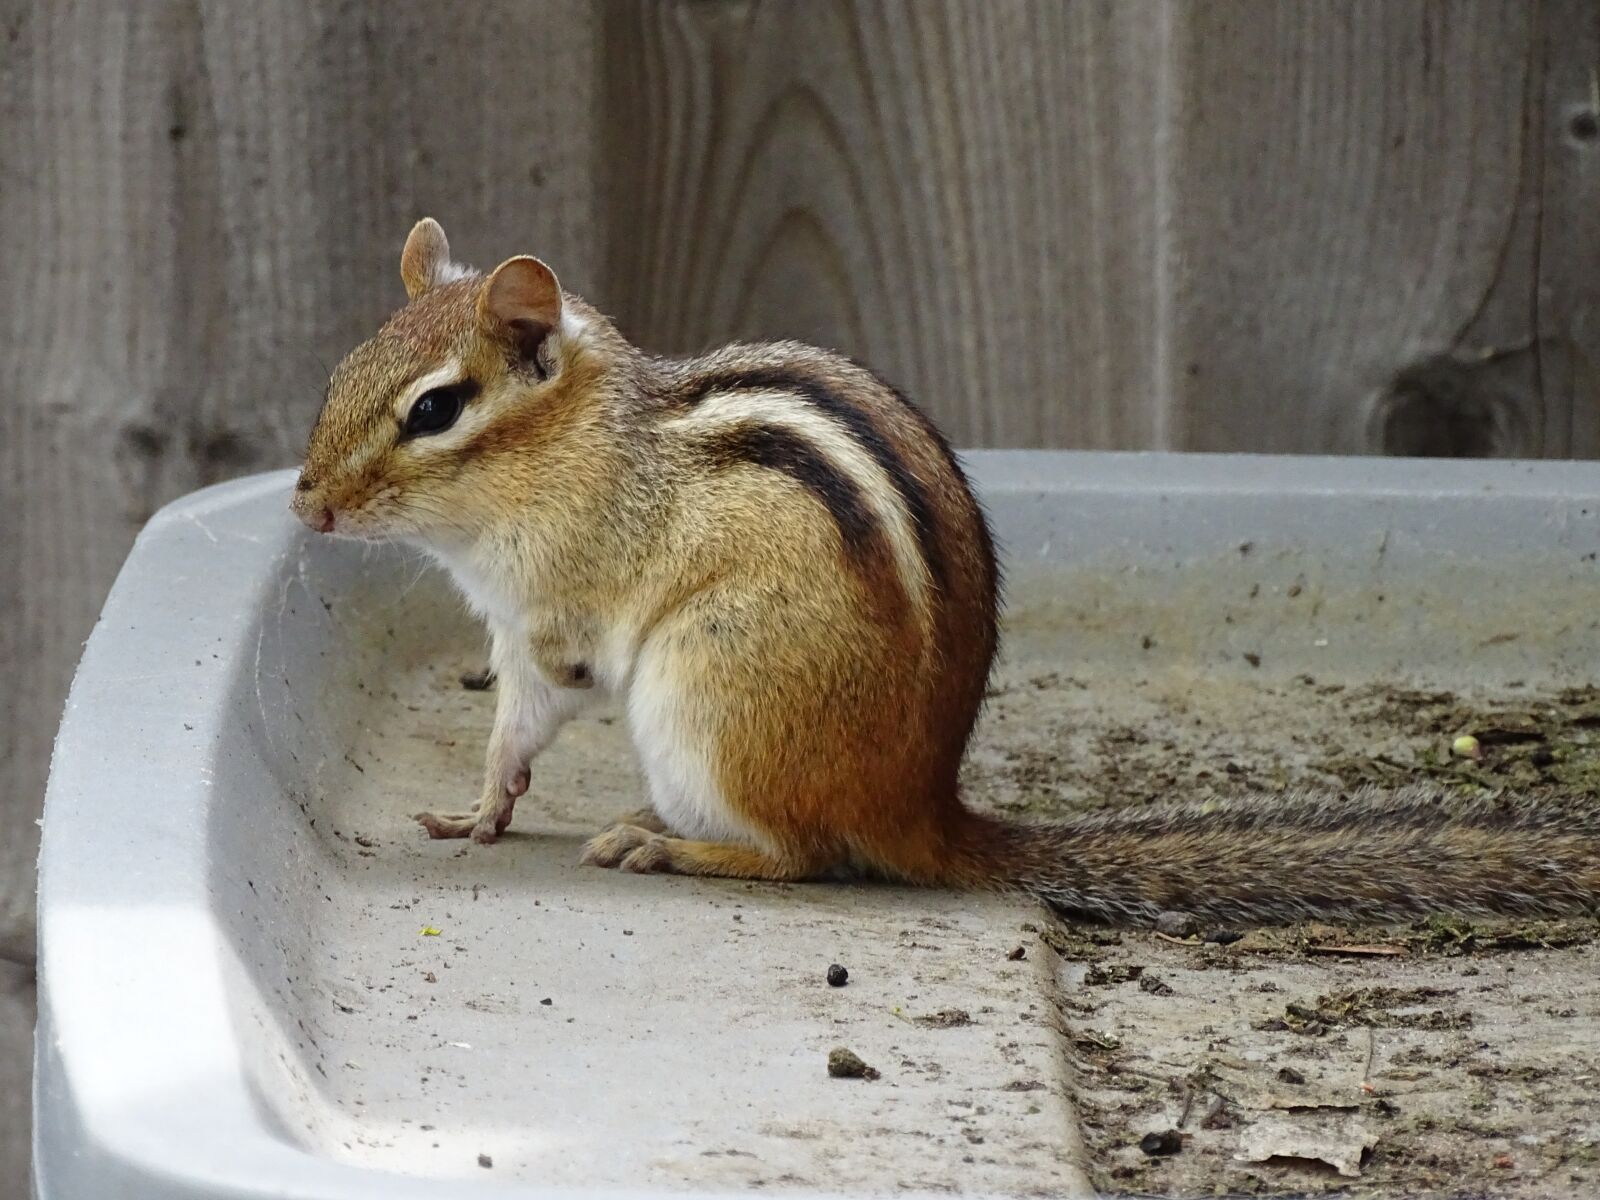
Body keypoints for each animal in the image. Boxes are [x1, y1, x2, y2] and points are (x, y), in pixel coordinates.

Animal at [291, 218, 1600, 928]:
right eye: (345, 370)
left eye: (435, 409)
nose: (306, 503)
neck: (575, 443)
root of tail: (921, 808)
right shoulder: (511, 627)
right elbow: (506, 734)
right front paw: (479, 811)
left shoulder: (555, 617)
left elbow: (529, 714)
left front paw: (492, 800)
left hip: (704, 695)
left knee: (806, 857)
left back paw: (667, 844)